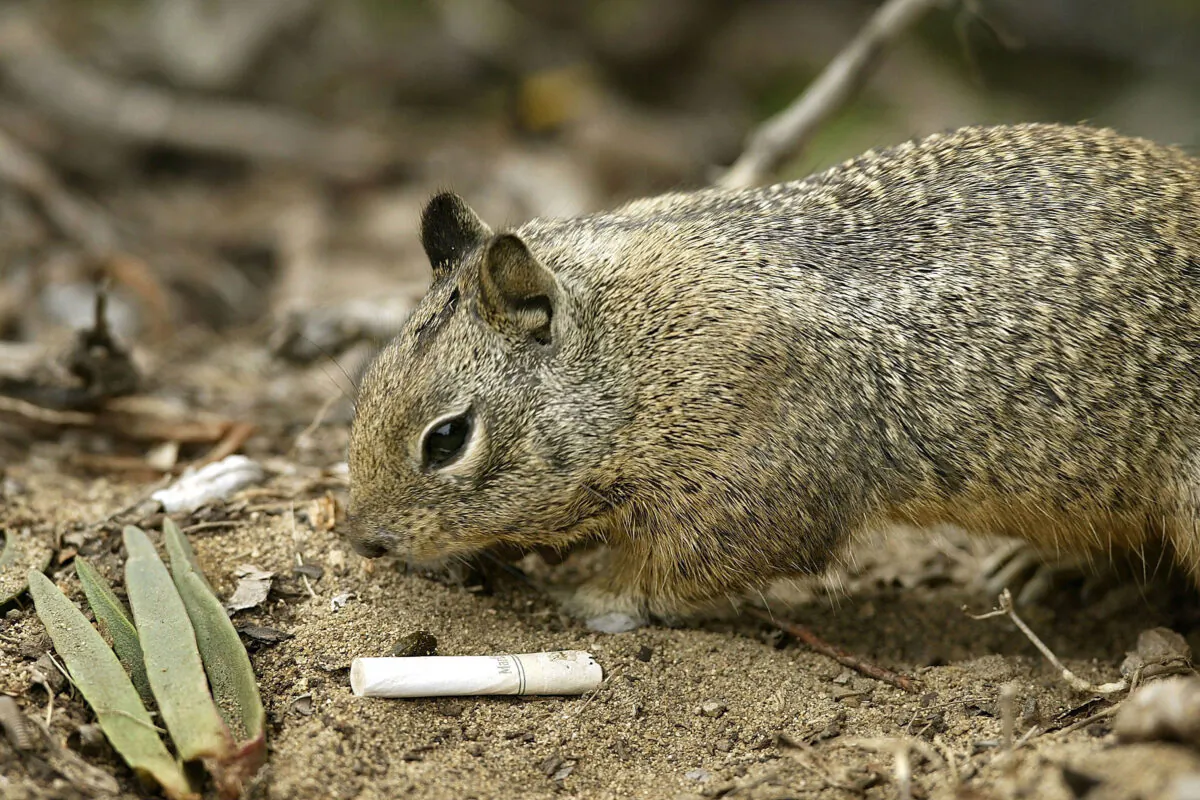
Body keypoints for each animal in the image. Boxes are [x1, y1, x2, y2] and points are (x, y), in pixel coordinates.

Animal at [346, 122, 1200, 627]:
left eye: (447, 438)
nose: (366, 540)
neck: (631, 354)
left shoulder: (745, 494)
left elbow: (670, 575)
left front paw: (592, 596)